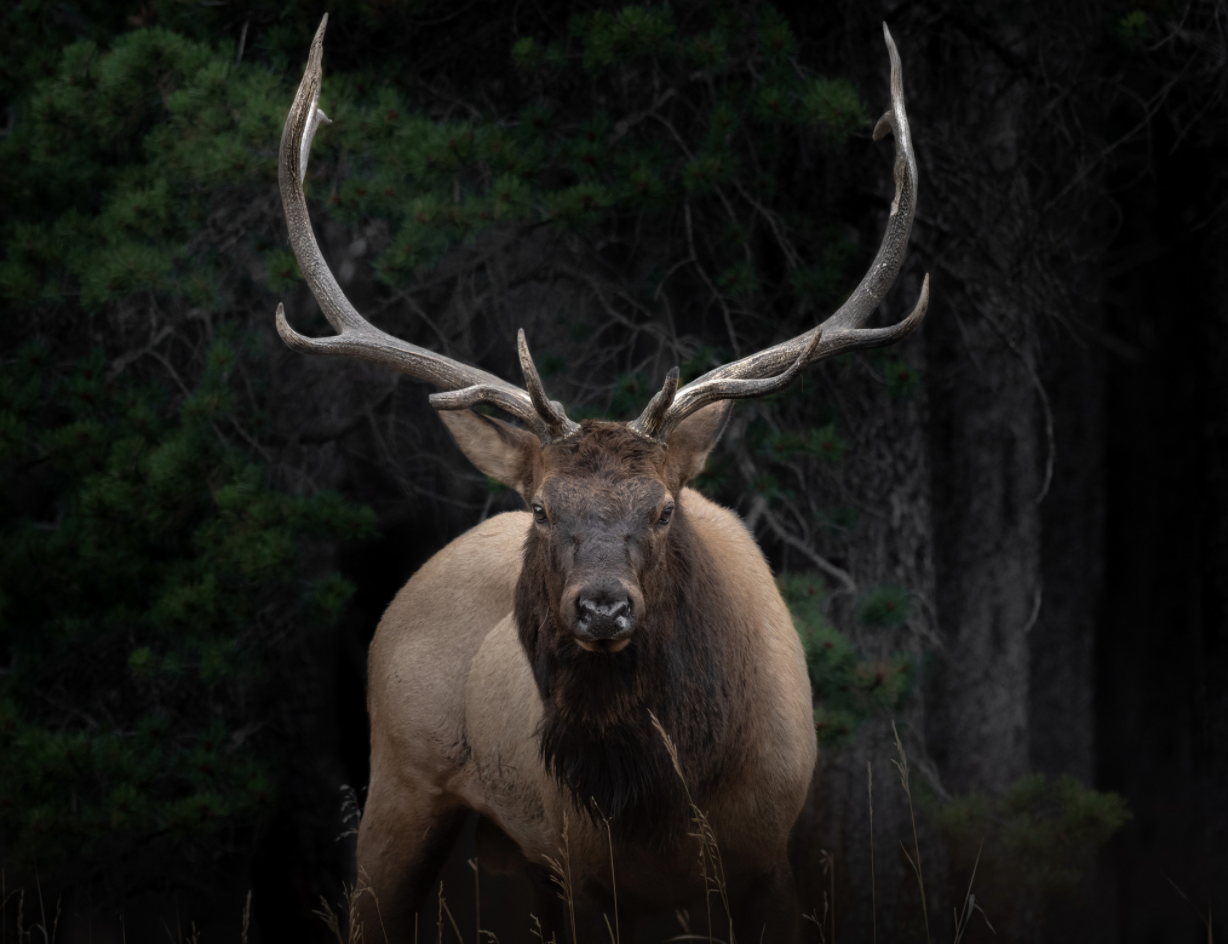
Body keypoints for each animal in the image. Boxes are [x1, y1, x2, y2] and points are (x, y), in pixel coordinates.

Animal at [276, 16, 928, 942]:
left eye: (661, 509)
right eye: (544, 508)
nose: (603, 606)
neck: (668, 802)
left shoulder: (766, 856)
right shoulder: (586, 869)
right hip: (402, 782)